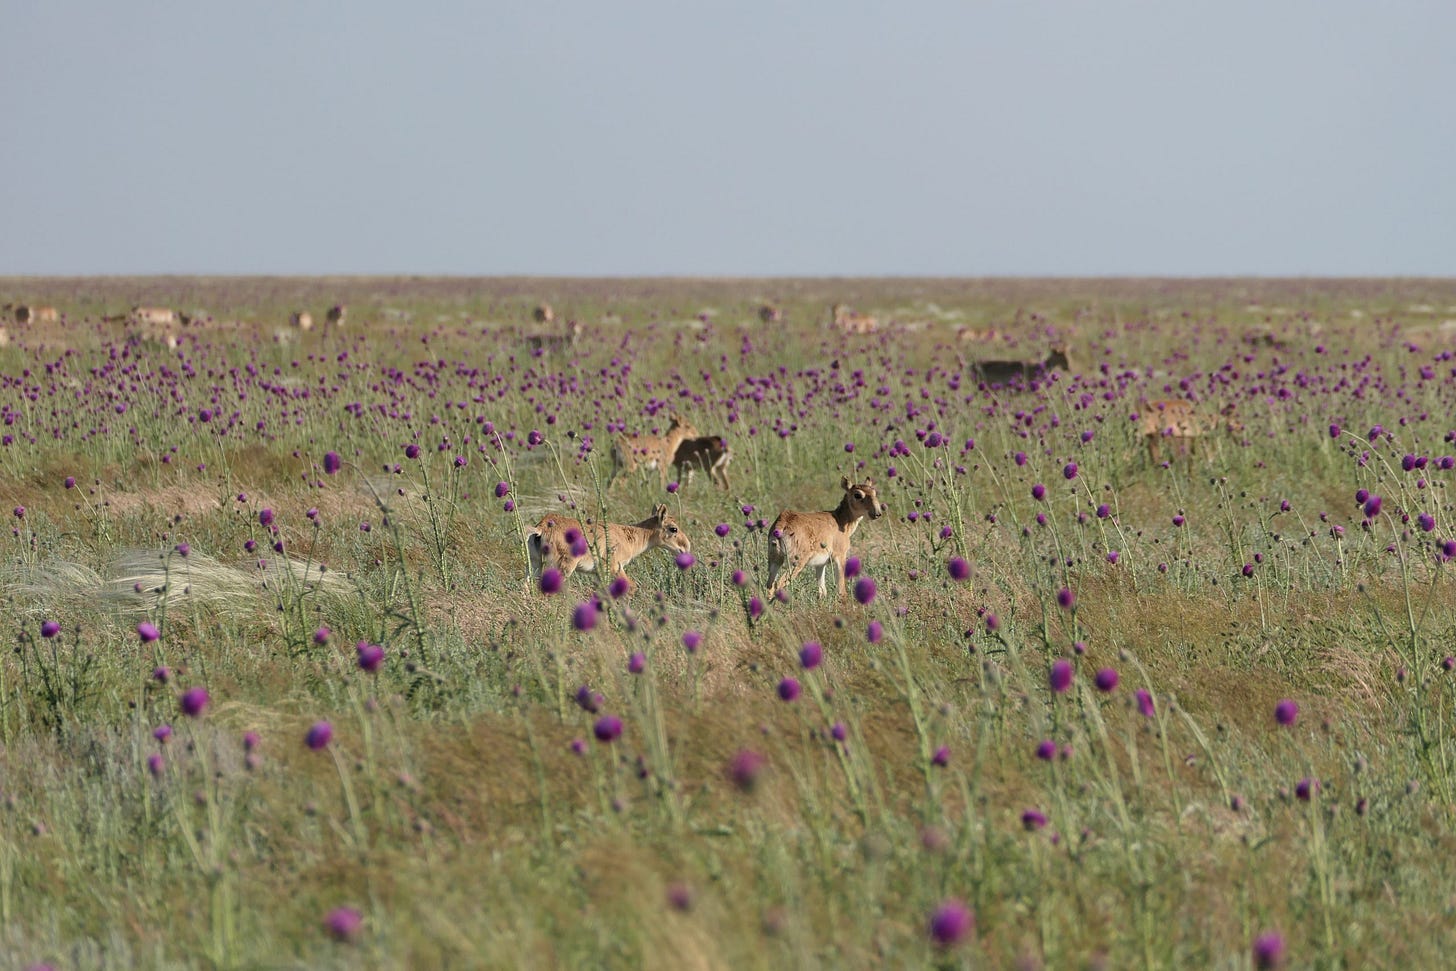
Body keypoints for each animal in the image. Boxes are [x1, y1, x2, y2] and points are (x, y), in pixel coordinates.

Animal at [529, 500, 693, 585]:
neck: (628, 537)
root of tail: (541, 527)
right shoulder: (616, 568)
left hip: (535, 565)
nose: (686, 547)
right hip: (562, 568)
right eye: (673, 529)